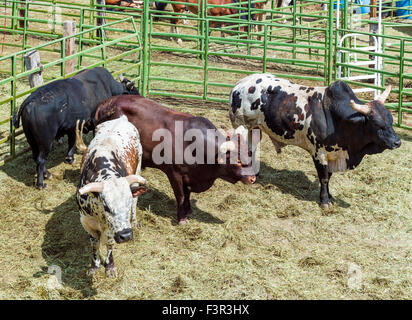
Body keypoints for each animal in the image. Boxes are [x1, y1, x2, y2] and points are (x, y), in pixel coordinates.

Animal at [75, 115, 146, 278]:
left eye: (126, 203)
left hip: (138, 169)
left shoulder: (110, 229)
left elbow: (109, 242)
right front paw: (94, 265)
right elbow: (94, 243)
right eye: (106, 206)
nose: (126, 235)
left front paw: (110, 266)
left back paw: (134, 221)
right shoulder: (86, 222)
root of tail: (122, 118)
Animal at [229, 73, 400, 209]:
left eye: (391, 120)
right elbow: (324, 177)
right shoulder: (319, 153)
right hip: (241, 125)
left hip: (255, 128)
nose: (397, 142)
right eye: (377, 124)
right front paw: (324, 201)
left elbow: (329, 176)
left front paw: (329, 197)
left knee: (252, 147)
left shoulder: (333, 154)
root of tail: (240, 84)